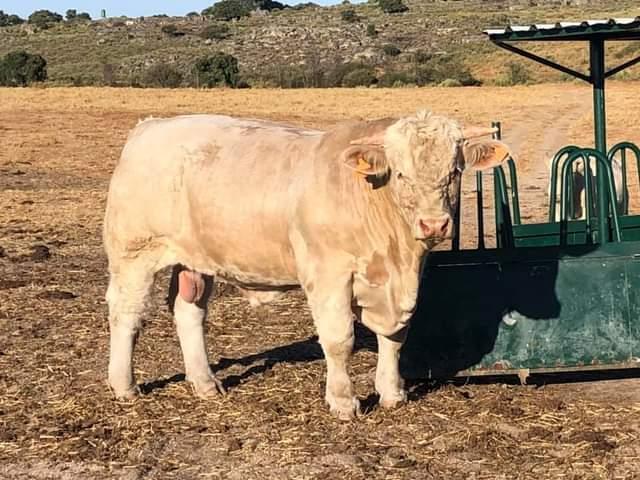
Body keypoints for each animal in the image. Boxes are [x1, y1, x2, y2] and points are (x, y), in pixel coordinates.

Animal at [103, 110, 512, 420]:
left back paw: (204, 383)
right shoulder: (329, 273)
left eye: (455, 171)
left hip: (195, 259)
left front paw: (392, 392)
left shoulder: (405, 283)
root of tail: (151, 127)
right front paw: (344, 401)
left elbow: (395, 336)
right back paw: (124, 385)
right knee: (126, 314)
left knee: (188, 310)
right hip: (133, 253)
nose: (434, 224)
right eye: (400, 173)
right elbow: (339, 339)